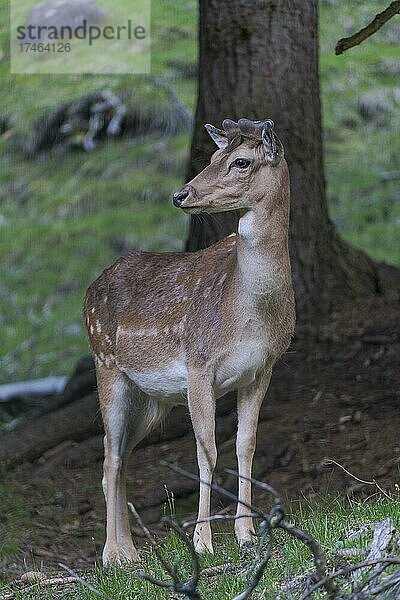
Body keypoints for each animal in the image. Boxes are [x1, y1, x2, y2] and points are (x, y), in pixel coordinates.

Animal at [84, 117, 296, 564]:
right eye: (212, 155)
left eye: (240, 161)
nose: (181, 194)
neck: (250, 311)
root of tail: (88, 291)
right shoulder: (200, 364)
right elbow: (206, 450)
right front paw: (203, 541)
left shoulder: (262, 369)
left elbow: (245, 445)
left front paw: (247, 534)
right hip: (106, 365)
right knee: (109, 458)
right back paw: (113, 555)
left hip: (152, 401)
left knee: (123, 457)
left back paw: (131, 551)